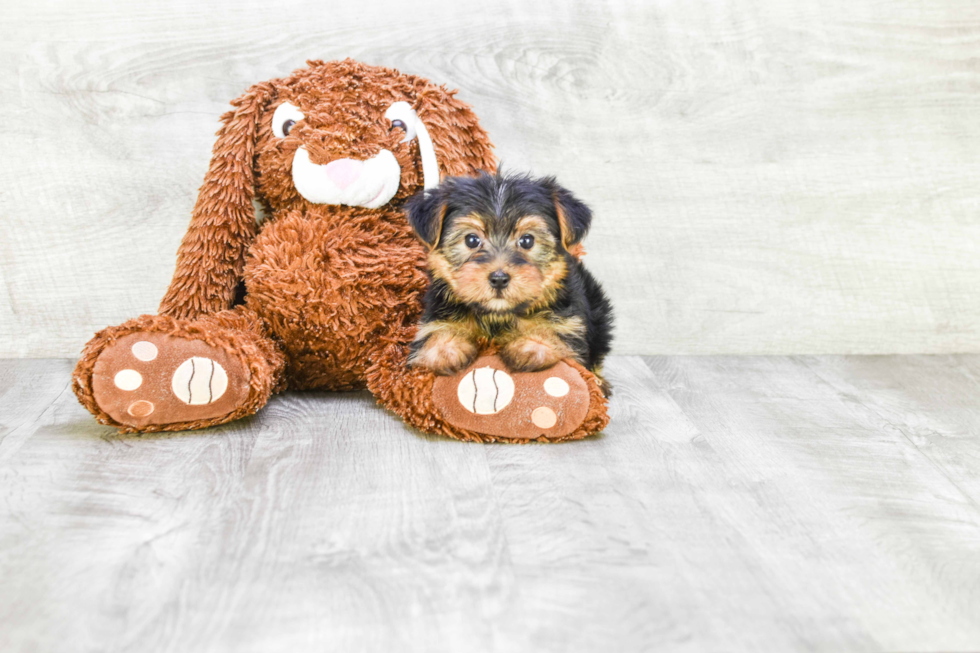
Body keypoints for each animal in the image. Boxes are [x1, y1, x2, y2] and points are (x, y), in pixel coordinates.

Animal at [406, 171, 612, 392]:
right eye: (471, 240)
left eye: (527, 241)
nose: (499, 279)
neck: (497, 316)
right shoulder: (434, 315)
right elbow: (432, 334)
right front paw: (445, 348)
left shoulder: (570, 324)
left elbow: (558, 334)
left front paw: (532, 345)